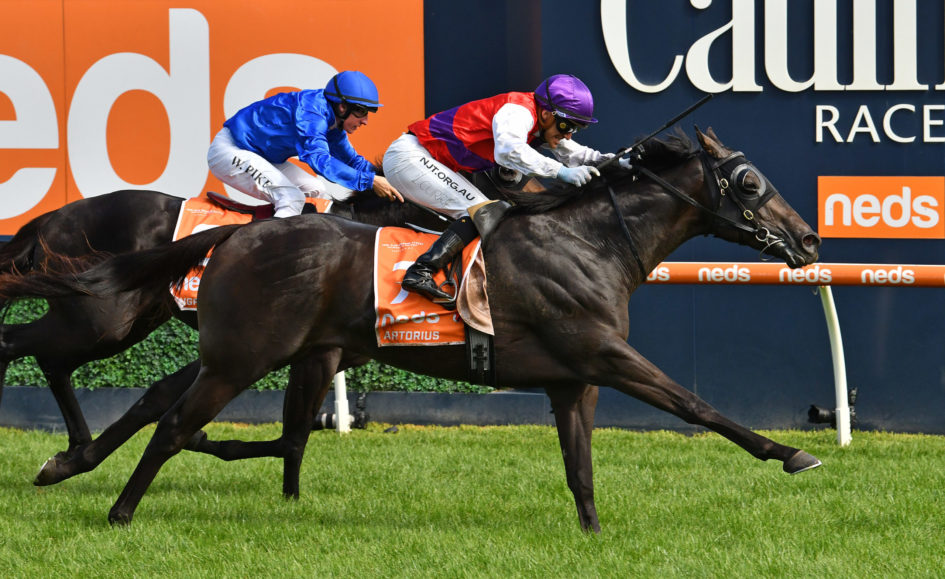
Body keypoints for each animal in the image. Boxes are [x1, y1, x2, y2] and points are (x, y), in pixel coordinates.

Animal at [0, 128, 822, 531]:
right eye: (749, 182)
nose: (809, 239)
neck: (587, 243)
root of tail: (236, 236)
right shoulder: (601, 351)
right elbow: (694, 404)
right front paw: (791, 453)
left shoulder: (572, 379)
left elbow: (580, 467)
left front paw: (591, 534)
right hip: (207, 349)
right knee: (157, 416)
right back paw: (116, 509)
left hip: (232, 347)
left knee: (151, 404)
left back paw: (83, 467)